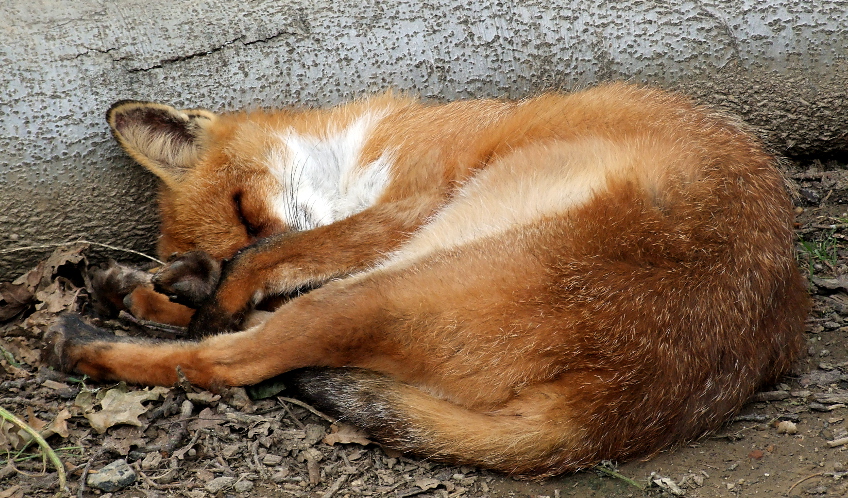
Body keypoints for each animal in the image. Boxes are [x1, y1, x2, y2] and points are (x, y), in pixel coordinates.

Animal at [46, 83, 808, 476]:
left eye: (242, 207)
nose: (214, 266)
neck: (364, 151)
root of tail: (622, 408)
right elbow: (260, 268)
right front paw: (175, 282)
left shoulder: (413, 203)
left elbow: (277, 257)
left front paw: (208, 284)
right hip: (399, 275)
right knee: (259, 342)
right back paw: (130, 301)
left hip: (394, 277)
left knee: (231, 360)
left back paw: (89, 340)